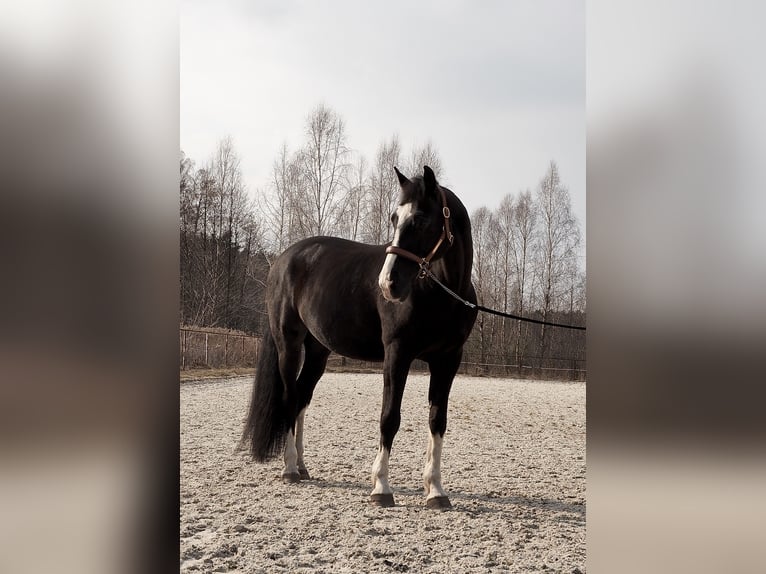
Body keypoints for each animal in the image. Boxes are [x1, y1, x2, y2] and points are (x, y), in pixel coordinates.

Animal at [241, 165, 477, 508]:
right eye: (394, 218)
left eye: (420, 219)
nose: (388, 284)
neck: (442, 292)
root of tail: (285, 258)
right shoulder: (397, 354)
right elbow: (389, 417)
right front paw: (381, 487)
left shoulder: (448, 360)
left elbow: (437, 420)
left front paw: (435, 490)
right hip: (289, 344)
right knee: (290, 398)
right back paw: (290, 469)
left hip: (317, 352)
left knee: (301, 398)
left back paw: (302, 465)